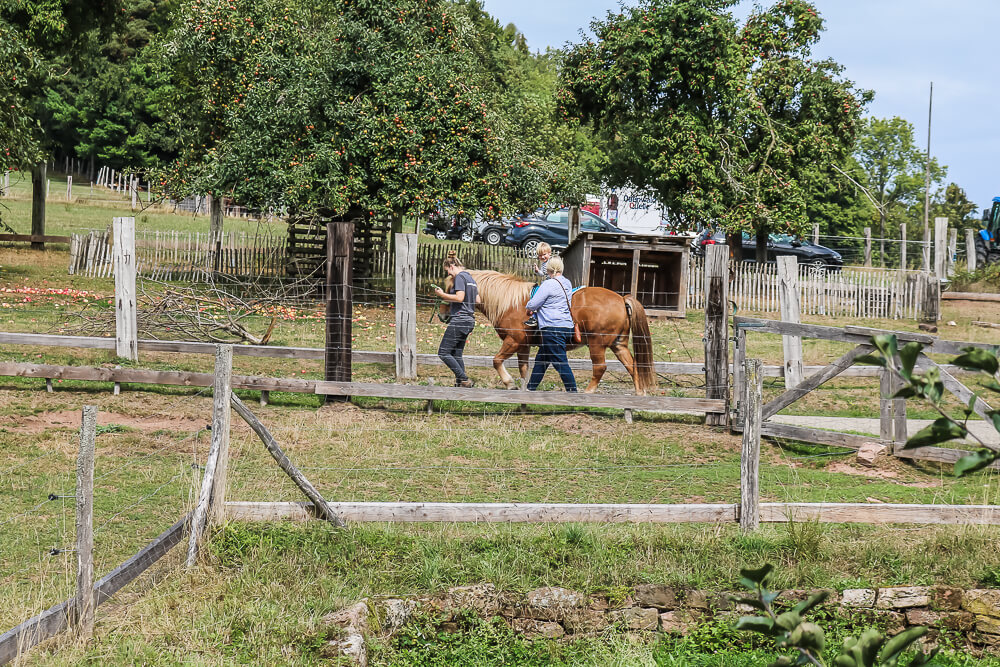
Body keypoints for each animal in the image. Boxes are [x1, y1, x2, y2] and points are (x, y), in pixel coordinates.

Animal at [444, 272, 660, 394]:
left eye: (452, 289)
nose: (442, 314)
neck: (511, 303)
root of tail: (621, 299)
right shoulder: (523, 345)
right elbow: (524, 369)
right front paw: (523, 388)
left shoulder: (513, 341)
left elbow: (497, 361)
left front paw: (509, 384)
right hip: (618, 345)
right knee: (633, 366)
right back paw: (639, 394)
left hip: (597, 344)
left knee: (600, 368)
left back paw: (589, 392)